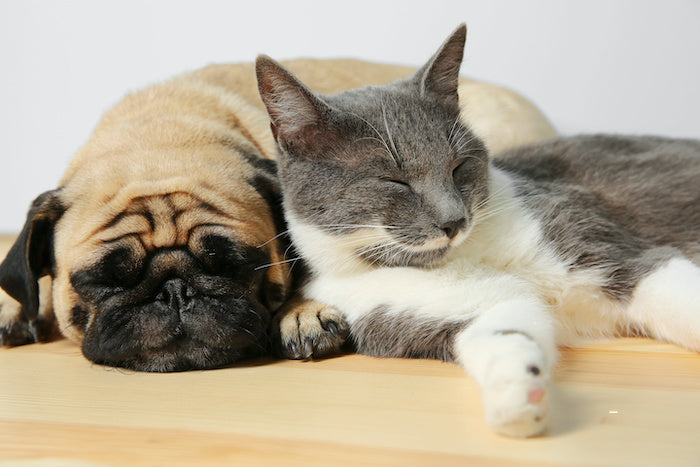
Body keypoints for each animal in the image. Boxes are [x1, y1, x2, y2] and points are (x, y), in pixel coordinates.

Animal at [0, 58, 556, 372]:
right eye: (103, 281)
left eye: (237, 266)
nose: (175, 292)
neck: (158, 142)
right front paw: (14, 308)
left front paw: (300, 312)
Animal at [256, 23, 700, 436]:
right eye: (394, 181)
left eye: (459, 166)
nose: (454, 220)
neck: (465, 257)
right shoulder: (425, 309)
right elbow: (504, 331)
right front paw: (517, 398)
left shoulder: (596, 242)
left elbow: (663, 282)